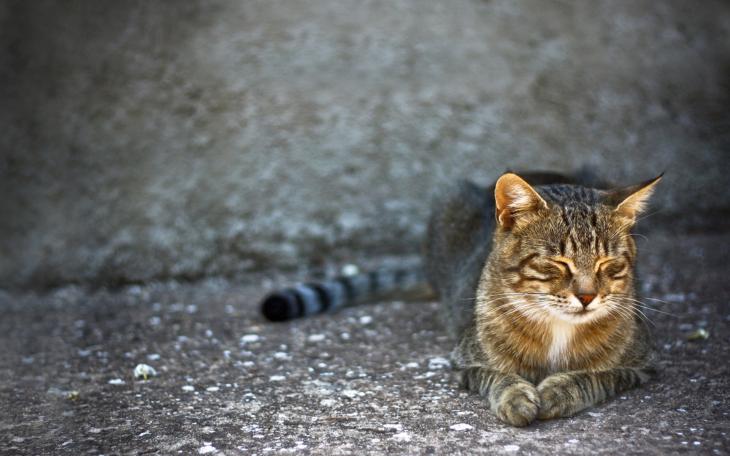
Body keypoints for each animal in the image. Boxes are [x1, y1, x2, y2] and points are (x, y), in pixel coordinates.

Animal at [260, 171, 660, 428]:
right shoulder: (466, 362)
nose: (588, 296)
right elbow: (498, 377)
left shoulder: (641, 365)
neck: (557, 330)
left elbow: (594, 378)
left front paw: (560, 390)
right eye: (557, 262)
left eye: (609, 264)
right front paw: (516, 397)